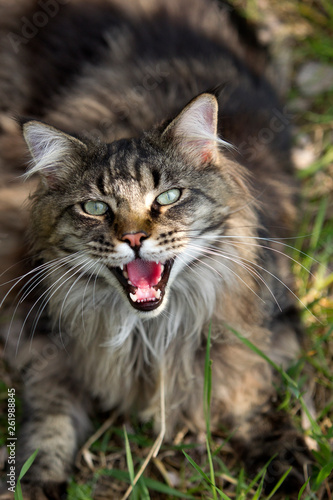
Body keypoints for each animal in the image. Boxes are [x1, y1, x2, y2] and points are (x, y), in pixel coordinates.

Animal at [0, 0, 312, 498]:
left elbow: (252, 388)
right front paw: (33, 481)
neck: (150, 334)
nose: (132, 238)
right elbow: (50, 418)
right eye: (95, 207)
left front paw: (284, 462)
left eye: (167, 197)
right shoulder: (42, 337)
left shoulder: (271, 330)